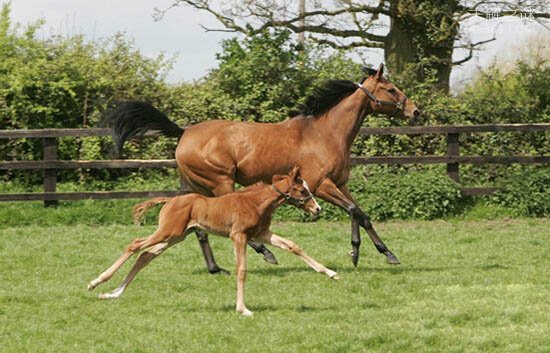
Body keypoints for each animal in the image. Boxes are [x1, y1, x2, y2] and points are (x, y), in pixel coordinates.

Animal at [88, 166, 338, 314]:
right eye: (301, 190)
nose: (317, 209)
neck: (256, 202)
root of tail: (170, 200)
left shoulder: (261, 234)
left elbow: (293, 246)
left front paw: (331, 273)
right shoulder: (239, 236)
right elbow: (241, 270)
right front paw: (242, 309)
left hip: (175, 237)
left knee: (145, 256)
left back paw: (112, 293)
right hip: (168, 232)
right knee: (135, 245)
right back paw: (96, 282)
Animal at [106, 63, 418, 272]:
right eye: (391, 89)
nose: (415, 111)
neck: (325, 133)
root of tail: (184, 132)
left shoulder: (340, 184)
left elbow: (360, 214)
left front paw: (377, 253)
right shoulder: (320, 185)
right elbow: (355, 211)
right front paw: (362, 253)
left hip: (193, 186)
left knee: (199, 227)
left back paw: (216, 268)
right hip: (221, 182)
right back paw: (264, 252)